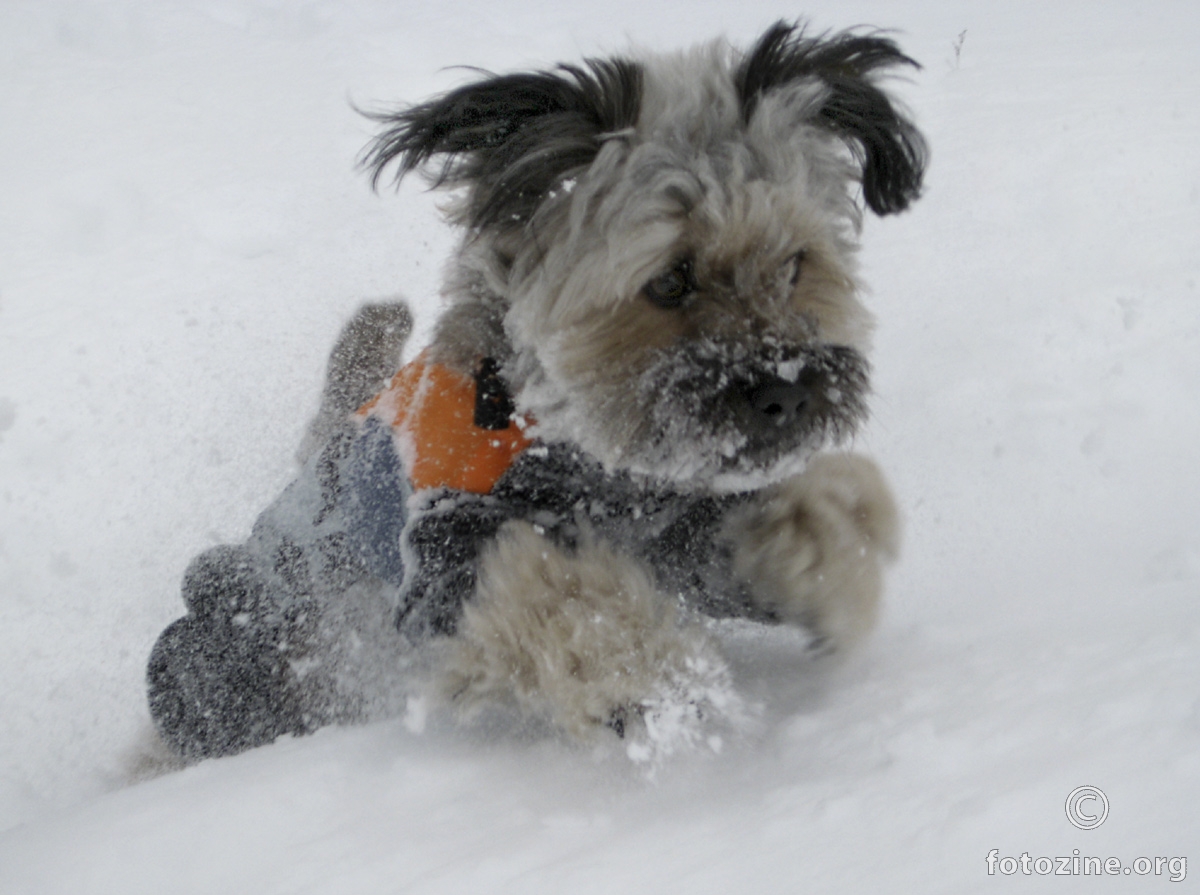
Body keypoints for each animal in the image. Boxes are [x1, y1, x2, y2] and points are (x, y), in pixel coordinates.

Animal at [145, 20, 921, 758]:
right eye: (670, 280)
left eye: (795, 263)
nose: (785, 393)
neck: (571, 442)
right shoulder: (447, 546)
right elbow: (550, 586)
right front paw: (648, 674)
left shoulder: (672, 522)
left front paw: (828, 552)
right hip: (244, 643)